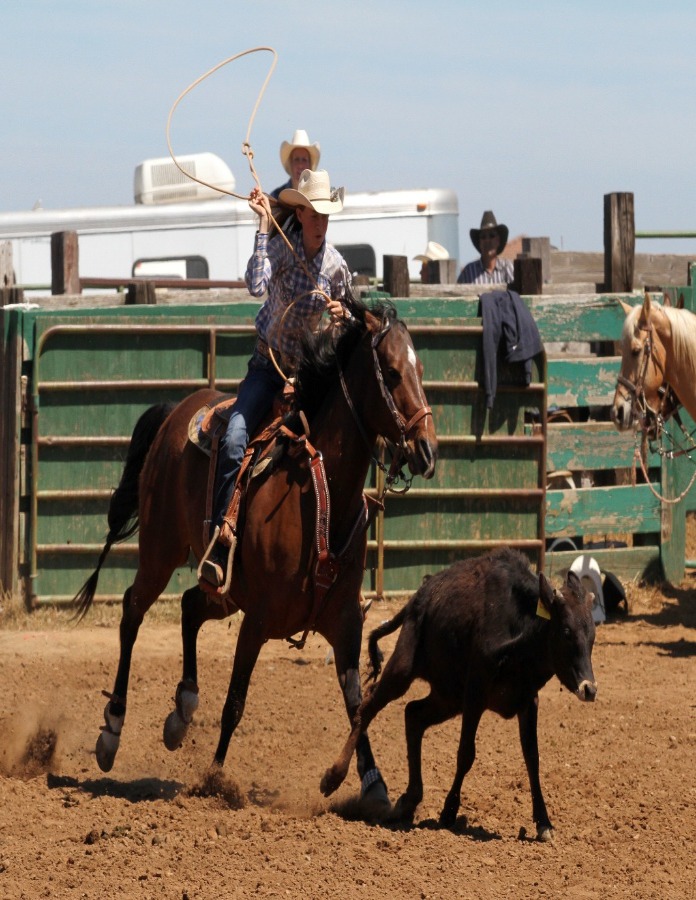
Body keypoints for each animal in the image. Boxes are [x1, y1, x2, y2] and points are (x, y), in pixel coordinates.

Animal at [73, 298, 438, 808]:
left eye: (420, 369)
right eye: (390, 370)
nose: (427, 449)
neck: (321, 495)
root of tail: (176, 411)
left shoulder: (345, 621)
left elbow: (356, 702)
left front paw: (372, 782)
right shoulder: (259, 618)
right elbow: (235, 701)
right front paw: (214, 778)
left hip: (224, 588)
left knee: (190, 606)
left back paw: (182, 710)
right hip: (161, 552)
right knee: (132, 611)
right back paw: (112, 729)